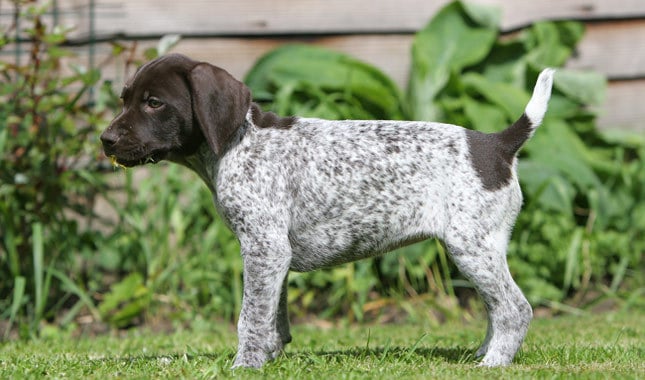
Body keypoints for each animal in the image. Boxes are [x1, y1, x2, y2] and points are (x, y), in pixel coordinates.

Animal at [100, 53, 552, 368]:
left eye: (154, 102)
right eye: (125, 100)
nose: (105, 139)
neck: (238, 143)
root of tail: (495, 144)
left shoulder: (263, 248)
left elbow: (251, 316)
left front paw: (245, 364)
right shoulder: (272, 254)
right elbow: (274, 315)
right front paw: (269, 357)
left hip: (470, 246)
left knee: (515, 309)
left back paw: (494, 363)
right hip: (481, 248)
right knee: (496, 308)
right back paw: (483, 353)